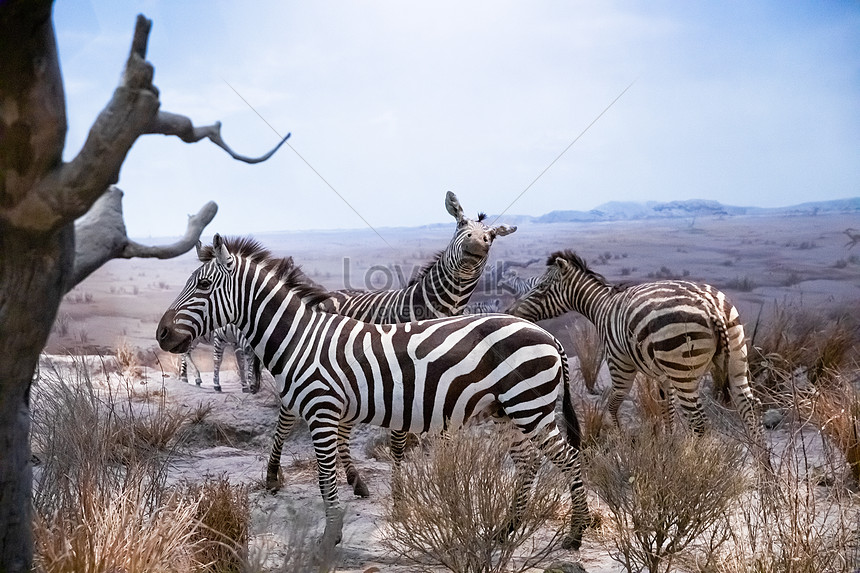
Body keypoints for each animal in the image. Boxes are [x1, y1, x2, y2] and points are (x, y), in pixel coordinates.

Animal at [156, 233, 592, 548]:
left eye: (204, 285)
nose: (161, 335)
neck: (300, 339)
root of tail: (549, 336)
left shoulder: (322, 412)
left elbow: (325, 479)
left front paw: (330, 537)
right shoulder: (323, 410)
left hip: (529, 406)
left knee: (570, 460)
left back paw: (574, 534)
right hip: (510, 411)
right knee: (529, 464)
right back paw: (507, 530)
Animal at [268, 190, 516, 498]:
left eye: (491, 236)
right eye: (461, 224)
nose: (476, 244)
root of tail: (327, 294)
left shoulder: (447, 385)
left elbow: (444, 438)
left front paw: (449, 481)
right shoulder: (404, 381)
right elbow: (399, 441)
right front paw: (400, 488)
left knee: (340, 430)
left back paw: (355, 480)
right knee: (285, 419)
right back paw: (273, 476)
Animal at [508, 250, 768, 464]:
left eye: (540, 288)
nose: (512, 312)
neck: (601, 307)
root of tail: (710, 306)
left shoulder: (619, 366)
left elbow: (612, 407)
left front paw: (623, 444)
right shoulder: (663, 376)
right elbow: (667, 410)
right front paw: (669, 446)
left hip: (684, 372)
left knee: (699, 422)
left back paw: (697, 468)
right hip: (736, 359)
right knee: (750, 407)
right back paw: (765, 473)